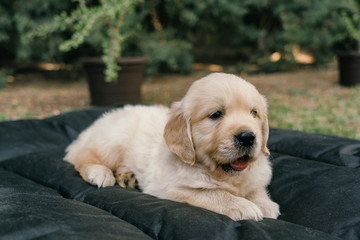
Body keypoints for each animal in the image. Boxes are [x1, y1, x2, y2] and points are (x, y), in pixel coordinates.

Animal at [64, 73, 278, 221]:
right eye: (216, 114)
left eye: (254, 113)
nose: (248, 137)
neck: (220, 173)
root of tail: (90, 129)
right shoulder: (168, 187)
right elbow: (210, 192)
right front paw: (243, 206)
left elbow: (255, 187)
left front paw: (264, 203)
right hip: (113, 140)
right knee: (83, 156)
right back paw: (99, 172)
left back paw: (128, 178)